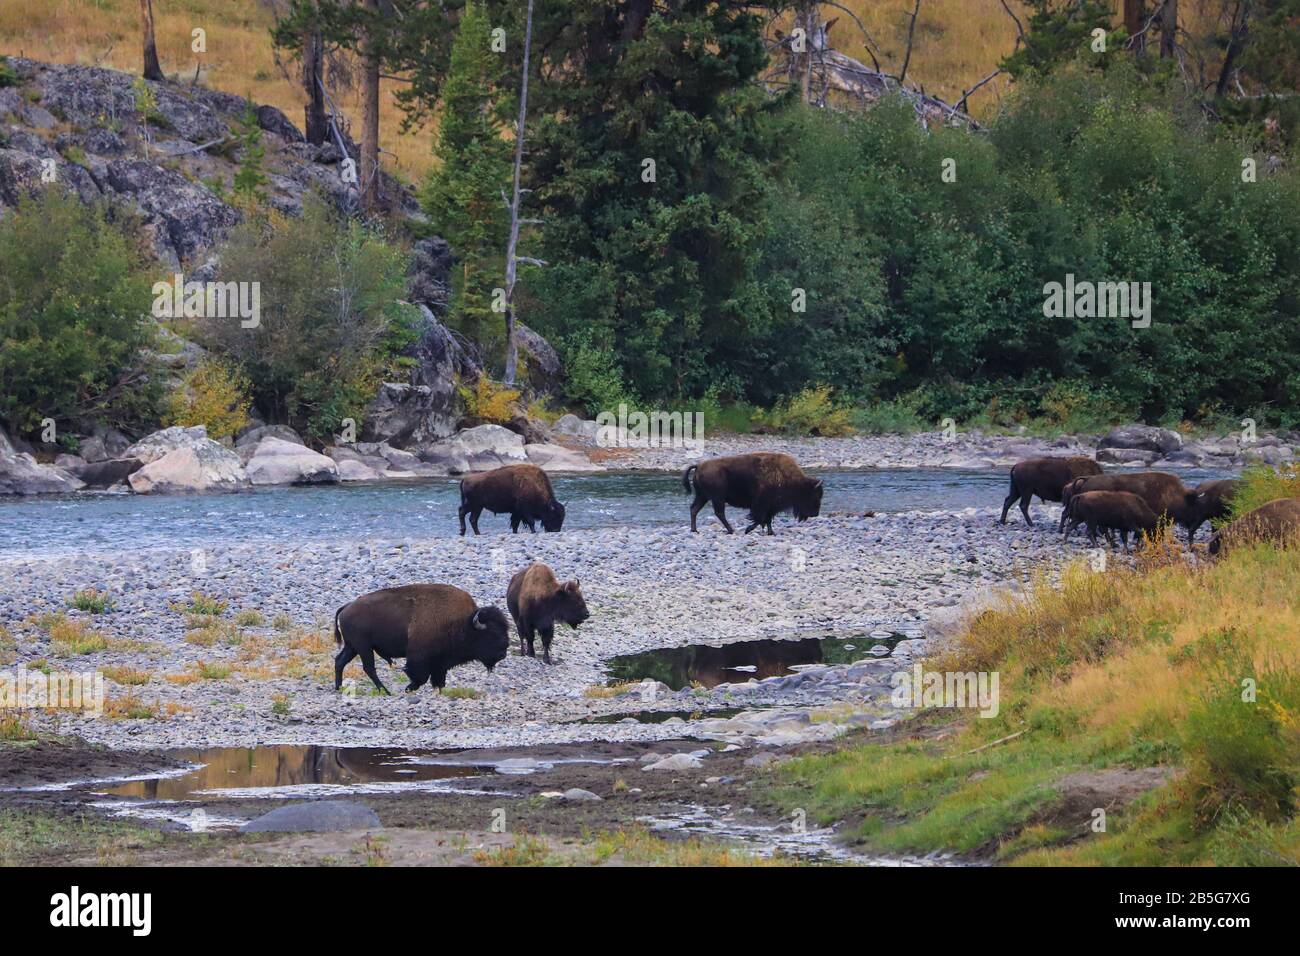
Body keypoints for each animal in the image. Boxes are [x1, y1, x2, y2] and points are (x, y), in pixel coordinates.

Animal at [332, 582, 509, 697]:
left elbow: (438, 680)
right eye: (492, 634)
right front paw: (408, 688)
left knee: (340, 661)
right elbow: (419, 676)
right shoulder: (419, 657)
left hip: (352, 647)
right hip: (363, 647)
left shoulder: (440, 663)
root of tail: (347, 607)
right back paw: (386, 692)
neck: (463, 623)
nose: (503, 654)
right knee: (369, 668)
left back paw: (339, 688)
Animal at [681, 452, 821, 535]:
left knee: (694, 509)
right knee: (719, 513)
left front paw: (771, 532)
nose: (815, 513)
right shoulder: (761, 504)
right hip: (717, 498)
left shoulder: (771, 507)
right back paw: (731, 530)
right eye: (814, 494)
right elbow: (759, 518)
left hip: (703, 497)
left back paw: (695, 530)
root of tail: (699, 466)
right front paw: (748, 530)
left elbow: (767, 519)